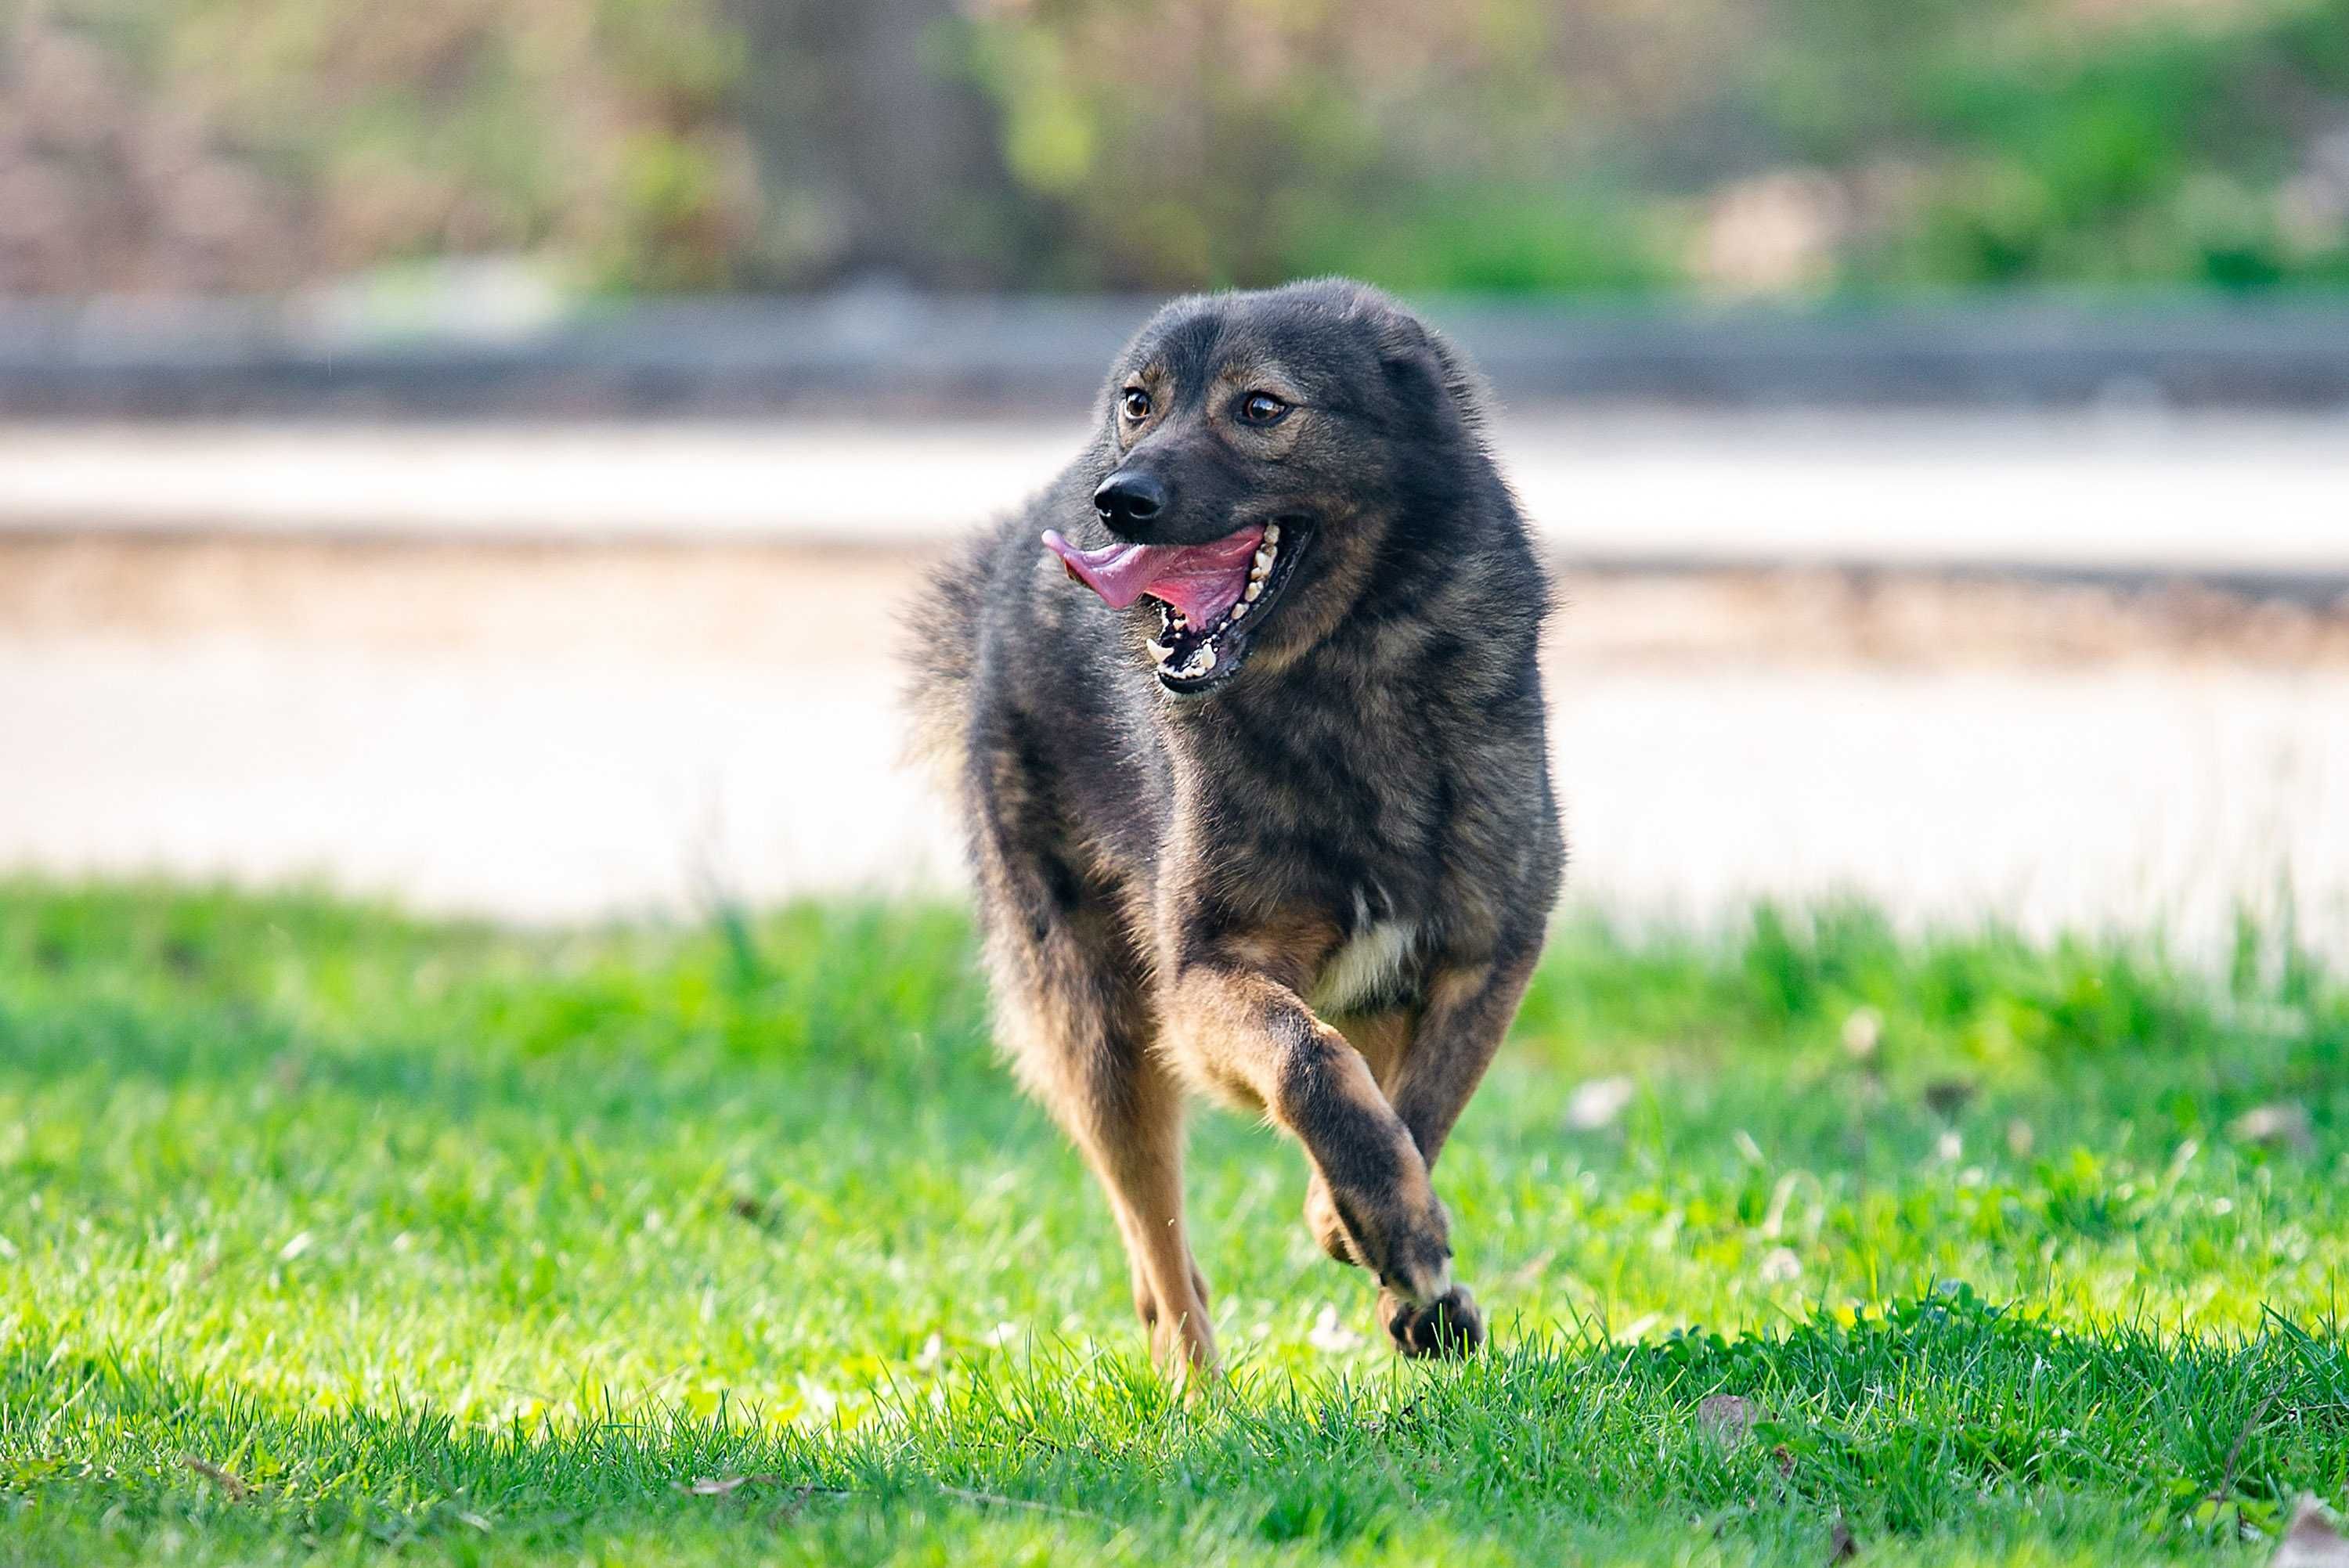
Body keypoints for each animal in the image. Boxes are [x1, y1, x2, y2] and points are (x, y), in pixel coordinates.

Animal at [907, 278, 1569, 1371]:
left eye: (1261, 407)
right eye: (1139, 402)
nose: (1118, 500)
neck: (1340, 675)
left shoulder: (1487, 954)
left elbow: (1421, 1104)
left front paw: (1364, 1227)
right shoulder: (1204, 978)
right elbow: (1310, 1062)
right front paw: (1387, 1226)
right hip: (1102, 1033)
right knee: (1161, 1255)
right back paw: (1200, 1391)